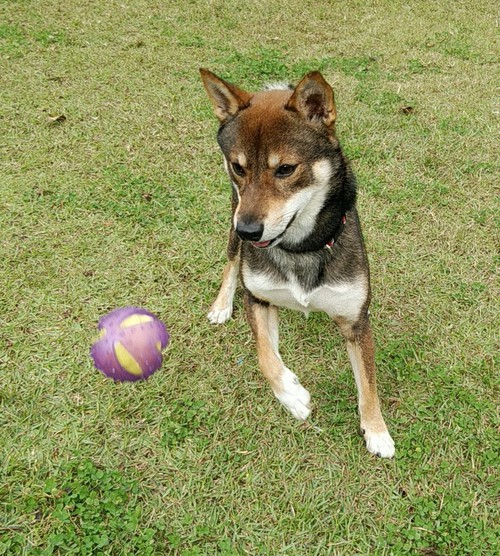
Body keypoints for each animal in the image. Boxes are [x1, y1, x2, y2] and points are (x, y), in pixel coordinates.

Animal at [199, 68, 394, 456]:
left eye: (286, 169)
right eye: (238, 167)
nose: (248, 231)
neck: (300, 247)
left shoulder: (356, 321)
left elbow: (369, 382)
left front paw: (377, 430)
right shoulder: (258, 298)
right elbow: (264, 356)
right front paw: (291, 394)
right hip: (233, 217)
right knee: (231, 262)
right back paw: (221, 304)